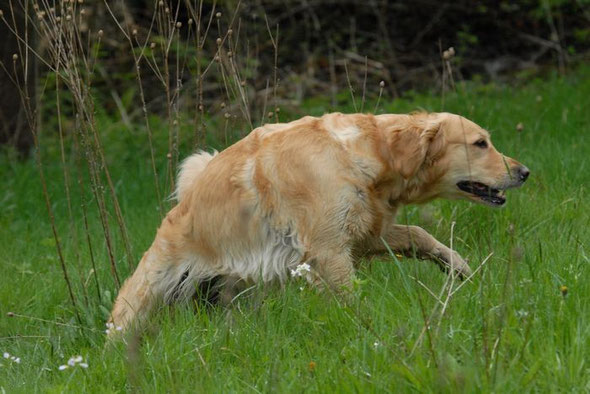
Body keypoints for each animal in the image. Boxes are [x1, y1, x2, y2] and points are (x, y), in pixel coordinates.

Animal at [107, 111, 532, 332]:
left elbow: (420, 234)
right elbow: (353, 298)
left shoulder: (366, 233)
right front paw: (368, 326)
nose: (525, 171)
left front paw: (460, 268)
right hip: (145, 293)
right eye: (480, 143)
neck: (365, 156)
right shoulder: (329, 251)